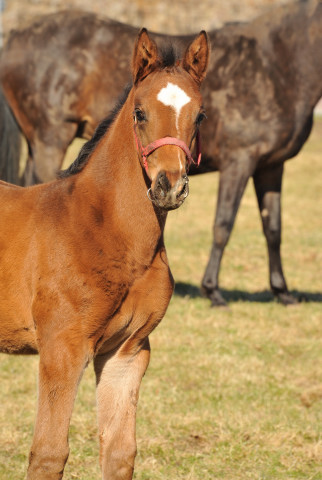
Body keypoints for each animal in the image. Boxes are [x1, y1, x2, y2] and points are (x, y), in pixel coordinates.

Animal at [0, 0, 322, 306]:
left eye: (201, 116)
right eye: (139, 113)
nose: (170, 187)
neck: (275, 64)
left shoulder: (271, 165)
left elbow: (273, 227)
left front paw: (283, 292)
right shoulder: (239, 161)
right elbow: (223, 224)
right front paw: (213, 291)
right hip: (50, 140)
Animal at [0, 28, 210, 478]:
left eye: (200, 115)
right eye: (140, 113)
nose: (169, 186)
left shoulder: (127, 353)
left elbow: (119, 451)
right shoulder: (62, 350)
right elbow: (48, 452)